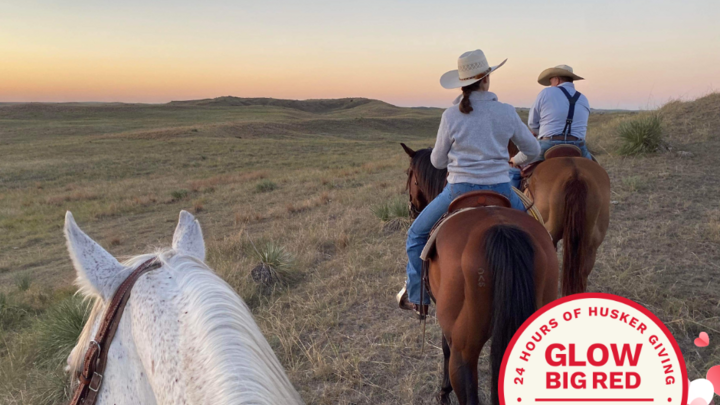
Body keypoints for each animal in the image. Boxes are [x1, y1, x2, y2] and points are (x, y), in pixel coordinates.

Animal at [402, 144, 560, 404]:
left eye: (409, 174)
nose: (411, 209)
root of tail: (501, 231)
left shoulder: (449, 329)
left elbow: (445, 348)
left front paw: (443, 392)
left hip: (465, 352)